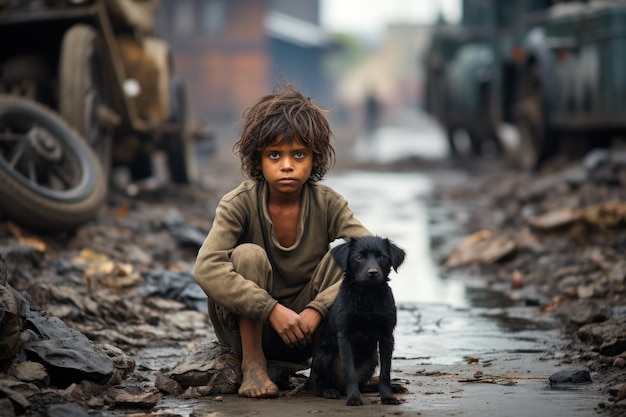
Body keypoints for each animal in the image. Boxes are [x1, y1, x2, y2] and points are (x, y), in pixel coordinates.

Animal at [308, 236, 404, 404]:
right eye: (358, 257)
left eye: (382, 257)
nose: (373, 273)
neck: (368, 295)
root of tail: (340, 388)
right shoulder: (345, 336)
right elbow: (350, 373)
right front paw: (353, 398)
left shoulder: (387, 336)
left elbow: (385, 372)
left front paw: (387, 397)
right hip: (324, 356)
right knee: (318, 385)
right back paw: (329, 391)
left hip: (372, 358)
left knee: (363, 385)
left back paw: (394, 387)